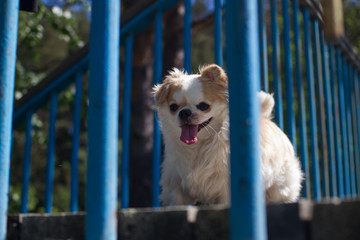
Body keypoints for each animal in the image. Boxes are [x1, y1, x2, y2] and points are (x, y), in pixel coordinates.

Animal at [153, 64, 304, 206]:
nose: (184, 112)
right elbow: (176, 198)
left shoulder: (226, 184)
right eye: (173, 107)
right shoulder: (174, 179)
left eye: (203, 106)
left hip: (280, 185)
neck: (198, 145)